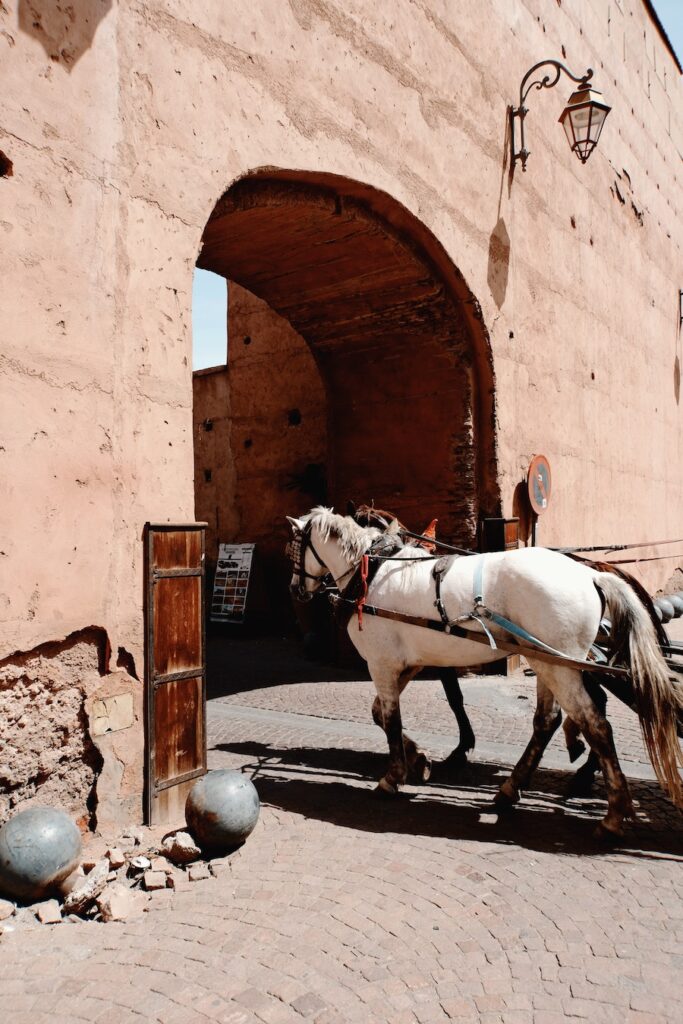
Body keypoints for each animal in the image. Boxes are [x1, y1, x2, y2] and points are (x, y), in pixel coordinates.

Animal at [286, 505, 683, 839]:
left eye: (292, 548)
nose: (295, 590)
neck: (373, 571)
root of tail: (589, 575)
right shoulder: (408, 663)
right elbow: (380, 714)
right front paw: (419, 759)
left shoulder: (382, 663)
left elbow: (392, 719)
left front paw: (393, 776)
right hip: (549, 662)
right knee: (548, 721)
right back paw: (512, 788)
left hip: (559, 665)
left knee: (595, 724)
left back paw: (613, 811)